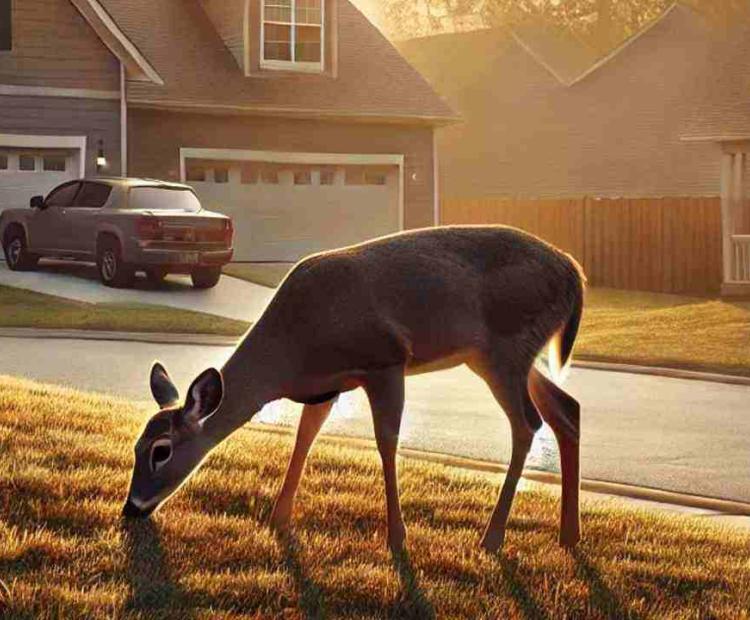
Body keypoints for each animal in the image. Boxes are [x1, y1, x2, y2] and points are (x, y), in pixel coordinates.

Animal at [122, 225, 585, 553]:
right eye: (135, 445)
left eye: (161, 451)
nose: (131, 509)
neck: (293, 351)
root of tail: (573, 274)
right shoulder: (326, 387)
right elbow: (304, 438)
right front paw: (278, 518)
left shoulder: (386, 360)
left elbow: (387, 441)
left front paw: (397, 537)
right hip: (502, 355)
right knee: (567, 408)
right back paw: (569, 534)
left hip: (503, 348)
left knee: (528, 423)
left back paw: (492, 537)